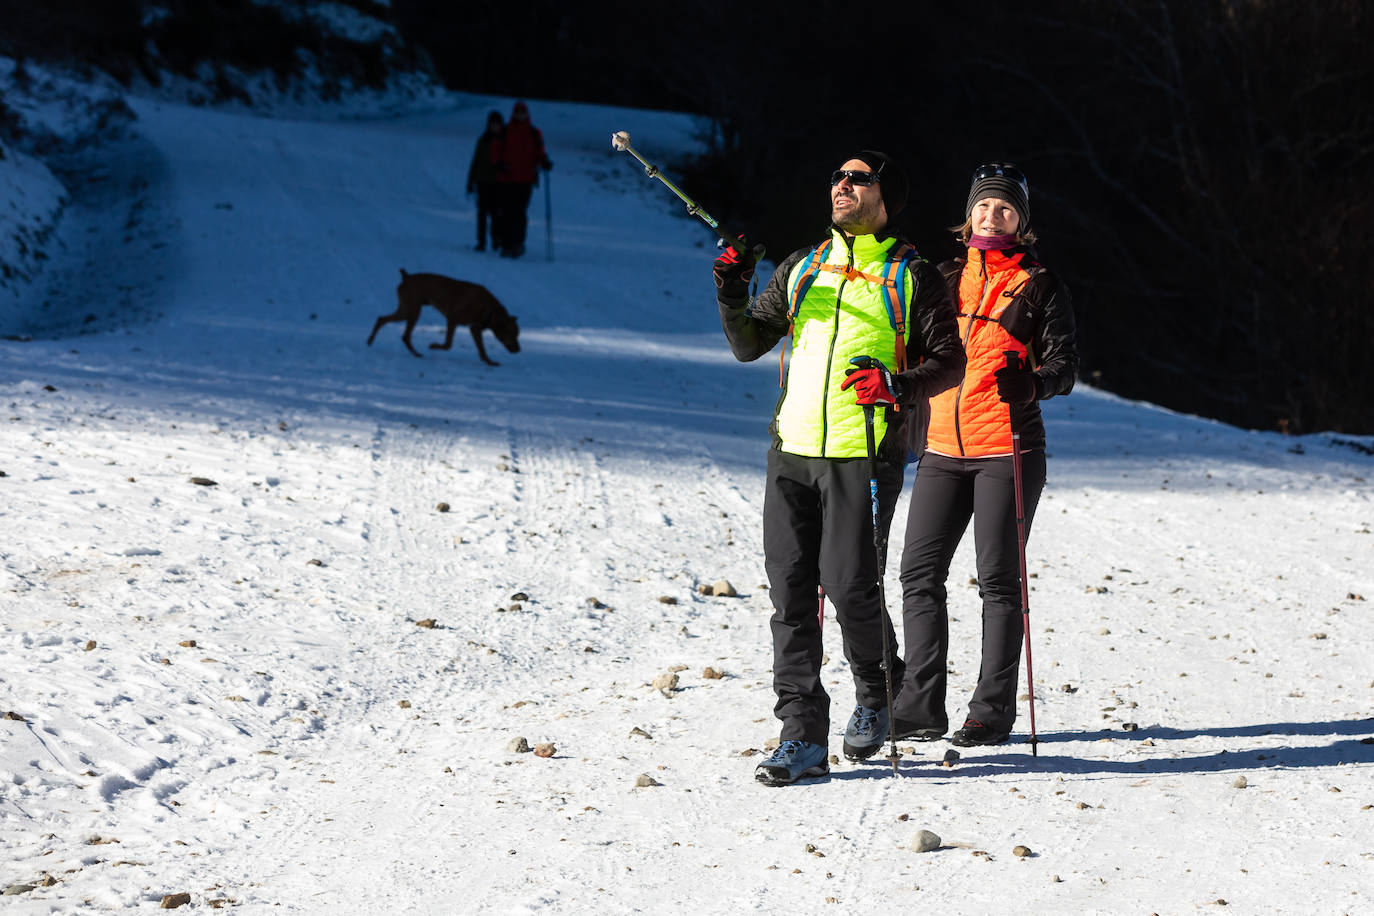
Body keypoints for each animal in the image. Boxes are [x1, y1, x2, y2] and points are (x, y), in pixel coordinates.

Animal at [365, 269, 519, 365]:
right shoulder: (453, 319)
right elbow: (448, 345)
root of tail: (406, 277)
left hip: (406, 310)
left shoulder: (474, 329)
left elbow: (482, 350)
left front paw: (489, 362)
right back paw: (416, 353)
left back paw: (371, 341)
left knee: (382, 320)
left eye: (517, 334)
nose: (519, 350)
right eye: (513, 334)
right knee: (404, 335)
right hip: (413, 311)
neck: (491, 310)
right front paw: (433, 345)